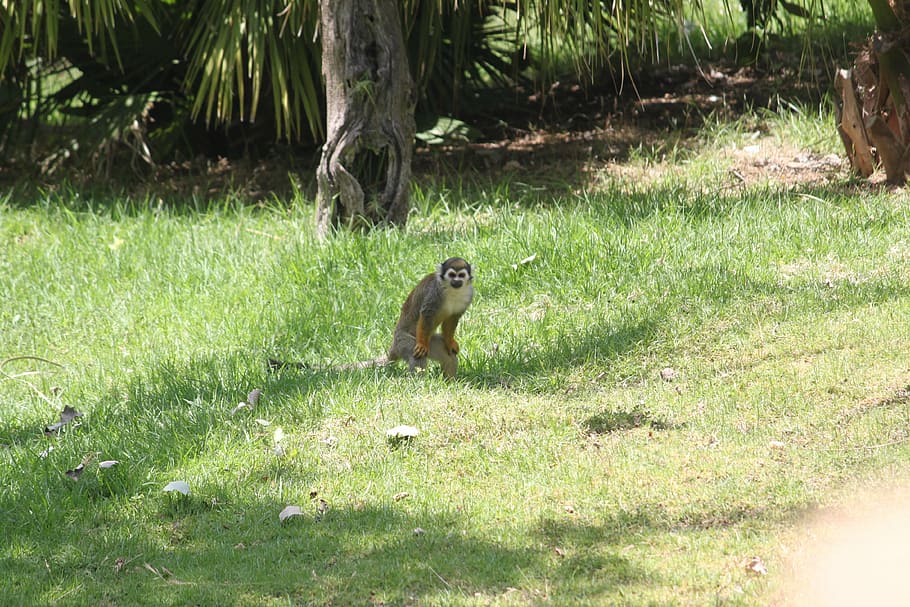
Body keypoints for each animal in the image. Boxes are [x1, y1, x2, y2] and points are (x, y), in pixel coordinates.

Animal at [269, 257, 473, 379]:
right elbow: (426, 314)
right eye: (451, 275)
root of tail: (393, 347)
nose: (456, 281)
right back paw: (419, 382)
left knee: (448, 356)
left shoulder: (468, 295)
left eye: (461, 275)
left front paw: (450, 341)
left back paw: (449, 381)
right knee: (418, 356)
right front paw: (422, 344)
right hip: (404, 342)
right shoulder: (434, 294)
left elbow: (452, 319)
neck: (452, 291)